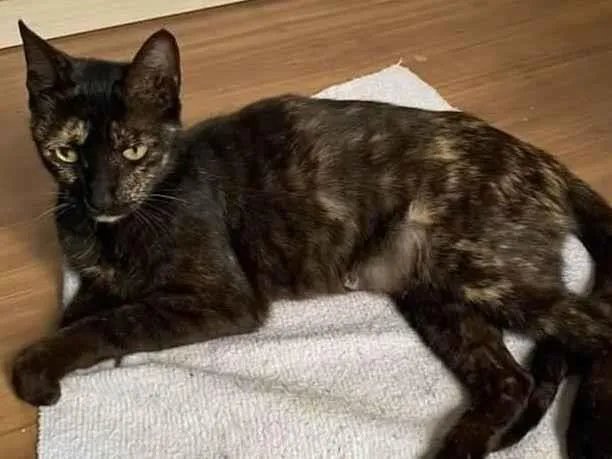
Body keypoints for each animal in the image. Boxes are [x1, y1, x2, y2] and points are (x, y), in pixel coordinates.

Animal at [11, 20, 612, 458]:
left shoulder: (224, 299)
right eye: (67, 153)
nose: (100, 197)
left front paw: (40, 366)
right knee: (510, 380)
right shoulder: (100, 275)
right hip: (434, 294)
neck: (117, 229)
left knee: (596, 334)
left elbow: (112, 322)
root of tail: (537, 155)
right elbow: (80, 308)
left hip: (482, 272)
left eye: (132, 150)